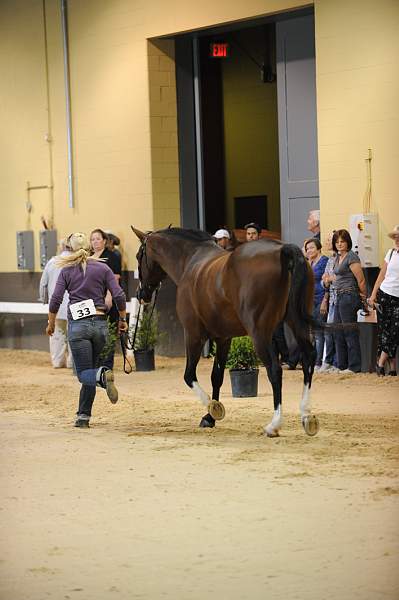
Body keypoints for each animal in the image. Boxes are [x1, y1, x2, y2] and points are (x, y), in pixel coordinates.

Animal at [133, 225, 320, 436]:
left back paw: (274, 424)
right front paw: (209, 418)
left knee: (274, 369)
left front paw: (213, 408)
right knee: (308, 359)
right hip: (298, 323)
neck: (191, 261)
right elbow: (217, 376)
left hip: (260, 334)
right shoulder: (223, 338)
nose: (141, 294)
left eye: (139, 256)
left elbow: (189, 375)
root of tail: (282, 250)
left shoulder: (193, 334)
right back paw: (306, 416)